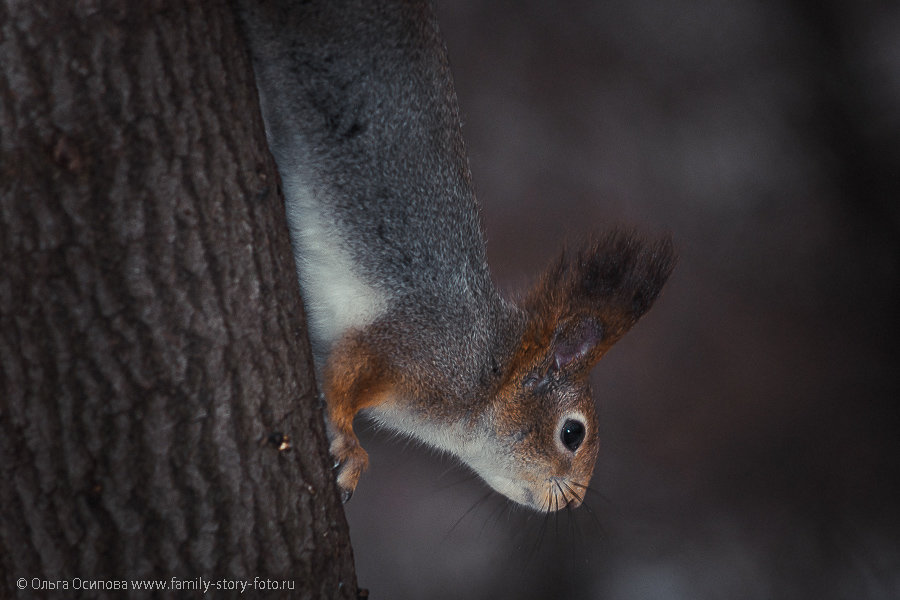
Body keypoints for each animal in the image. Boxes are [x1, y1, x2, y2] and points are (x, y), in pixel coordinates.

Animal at [237, 0, 676, 510]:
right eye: (572, 433)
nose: (573, 502)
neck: (488, 372)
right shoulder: (413, 343)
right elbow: (346, 373)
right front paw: (351, 449)